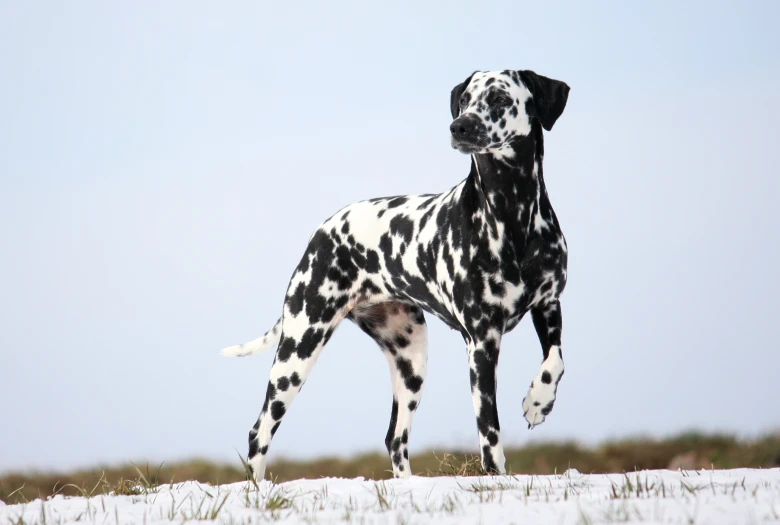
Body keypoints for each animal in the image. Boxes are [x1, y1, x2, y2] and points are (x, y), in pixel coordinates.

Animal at [222, 68, 568, 478]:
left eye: (500, 98)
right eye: (465, 99)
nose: (460, 126)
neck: (512, 213)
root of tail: (322, 230)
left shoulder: (549, 304)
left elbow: (555, 361)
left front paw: (539, 401)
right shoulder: (481, 341)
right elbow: (489, 431)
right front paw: (496, 475)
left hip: (411, 361)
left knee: (395, 439)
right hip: (298, 347)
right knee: (260, 430)